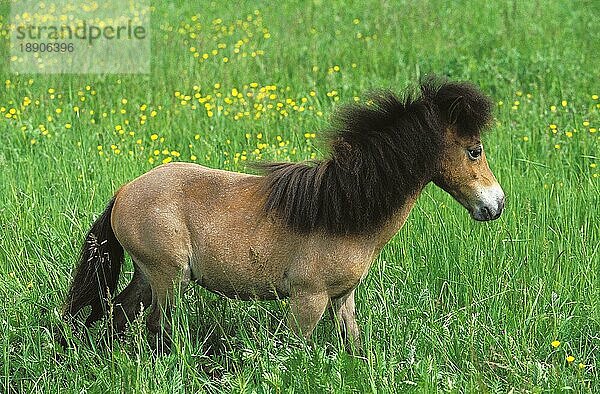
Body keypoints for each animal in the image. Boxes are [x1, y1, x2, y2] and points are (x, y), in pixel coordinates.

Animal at [61, 79, 504, 350]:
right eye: (475, 150)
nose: (495, 204)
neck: (342, 209)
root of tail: (124, 192)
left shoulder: (343, 299)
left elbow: (354, 347)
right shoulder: (308, 300)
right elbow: (296, 350)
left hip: (146, 276)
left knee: (118, 314)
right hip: (168, 278)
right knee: (155, 327)